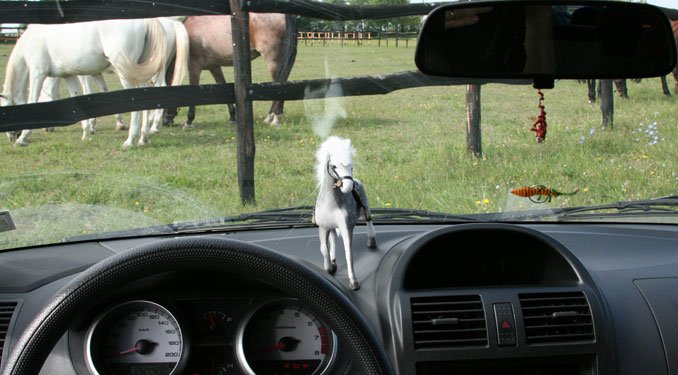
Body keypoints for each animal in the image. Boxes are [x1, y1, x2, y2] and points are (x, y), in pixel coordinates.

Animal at [3, 17, 189, 148]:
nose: (10, 137)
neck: (32, 38)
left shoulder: (38, 73)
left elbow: (33, 100)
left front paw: (23, 138)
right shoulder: (70, 76)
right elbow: (80, 99)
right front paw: (87, 132)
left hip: (128, 72)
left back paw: (133, 139)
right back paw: (144, 137)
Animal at [163, 13, 298, 129]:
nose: (165, 122)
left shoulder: (194, 68)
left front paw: (189, 121)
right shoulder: (214, 67)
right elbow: (221, 84)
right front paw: (232, 117)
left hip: (272, 60)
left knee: (279, 83)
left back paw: (275, 118)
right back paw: (271, 117)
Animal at [314, 135, 378, 290]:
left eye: (351, 167)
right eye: (334, 166)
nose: (349, 186)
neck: (331, 204)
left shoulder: (346, 228)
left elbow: (348, 254)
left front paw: (353, 282)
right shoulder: (323, 228)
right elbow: (324, 248)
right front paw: (329, 267)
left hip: (366, 209)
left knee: (369, 221)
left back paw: (371, 241)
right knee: (333, 238)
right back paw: (333, 261)